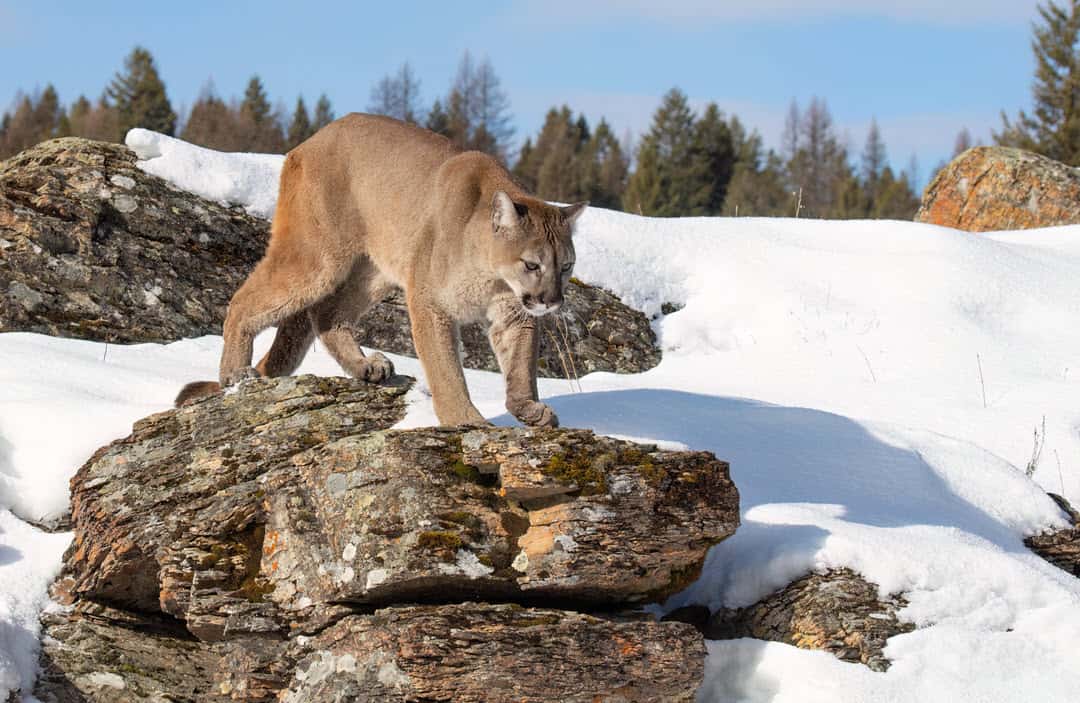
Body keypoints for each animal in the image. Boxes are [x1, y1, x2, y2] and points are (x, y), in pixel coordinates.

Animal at [176, 112, 587, 425]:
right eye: (532, 264)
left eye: (566, 266)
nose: (552, 301)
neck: (491, 275)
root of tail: (310, 141)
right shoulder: (429, 302)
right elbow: (446, 370)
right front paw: (466, 421)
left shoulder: (515, 313)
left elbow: (520, 365)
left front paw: (528, 408)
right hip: (318, 258)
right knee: (246, 300)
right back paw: (233, 373)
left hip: (373, 270)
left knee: (325, 313)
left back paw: (364, 366)